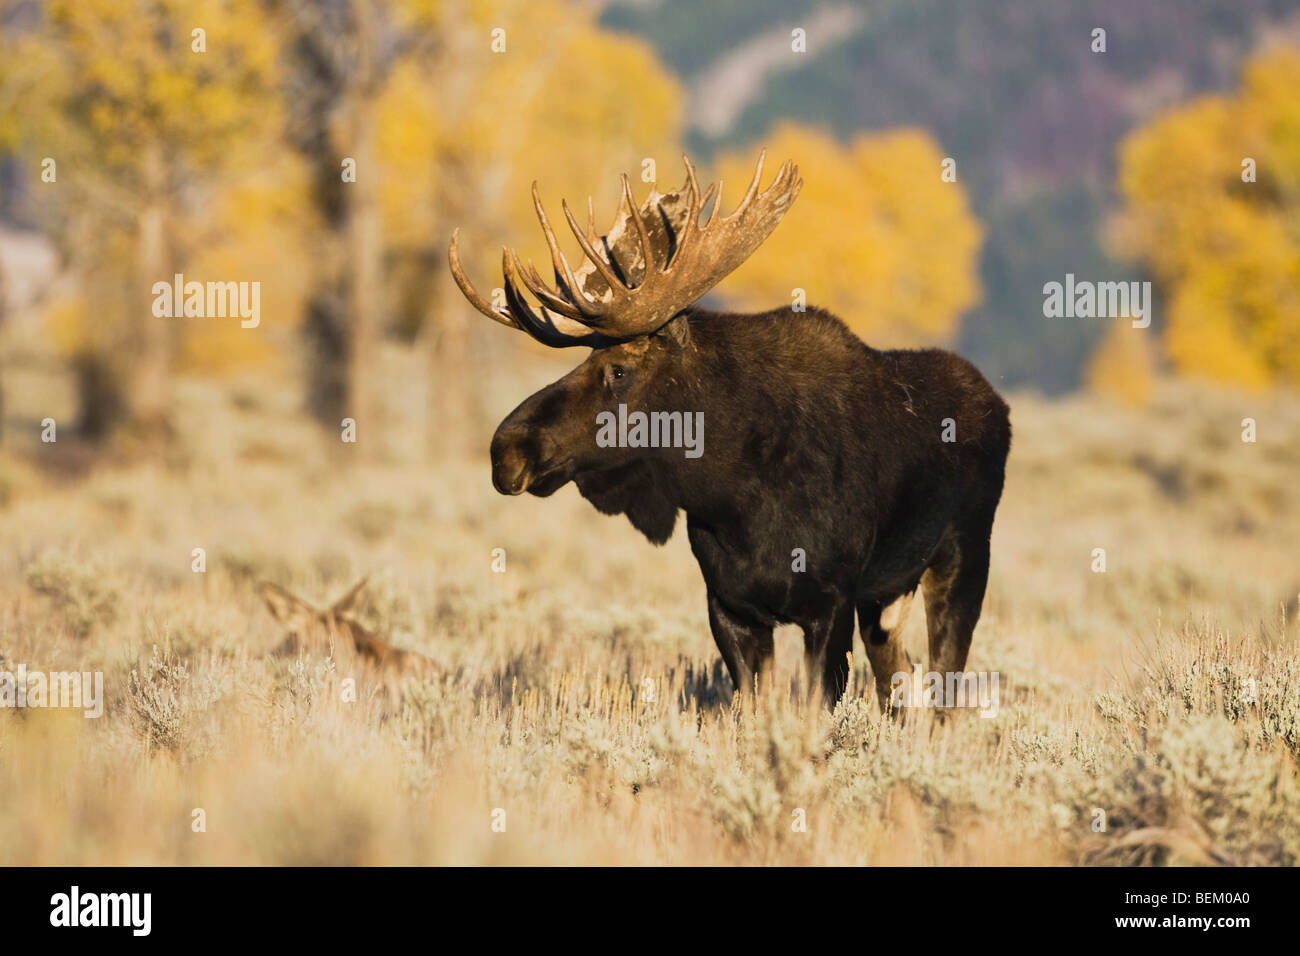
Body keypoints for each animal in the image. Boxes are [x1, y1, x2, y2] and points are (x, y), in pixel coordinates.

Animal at [452, 151, 1008, 712]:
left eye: (618, 370)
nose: (507, 448)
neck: (732, 498)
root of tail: (998, 405)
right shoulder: (728, 606)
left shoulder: (831, 602)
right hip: (886, 598)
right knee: (901, 686)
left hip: (964, 558)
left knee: (944, 692)